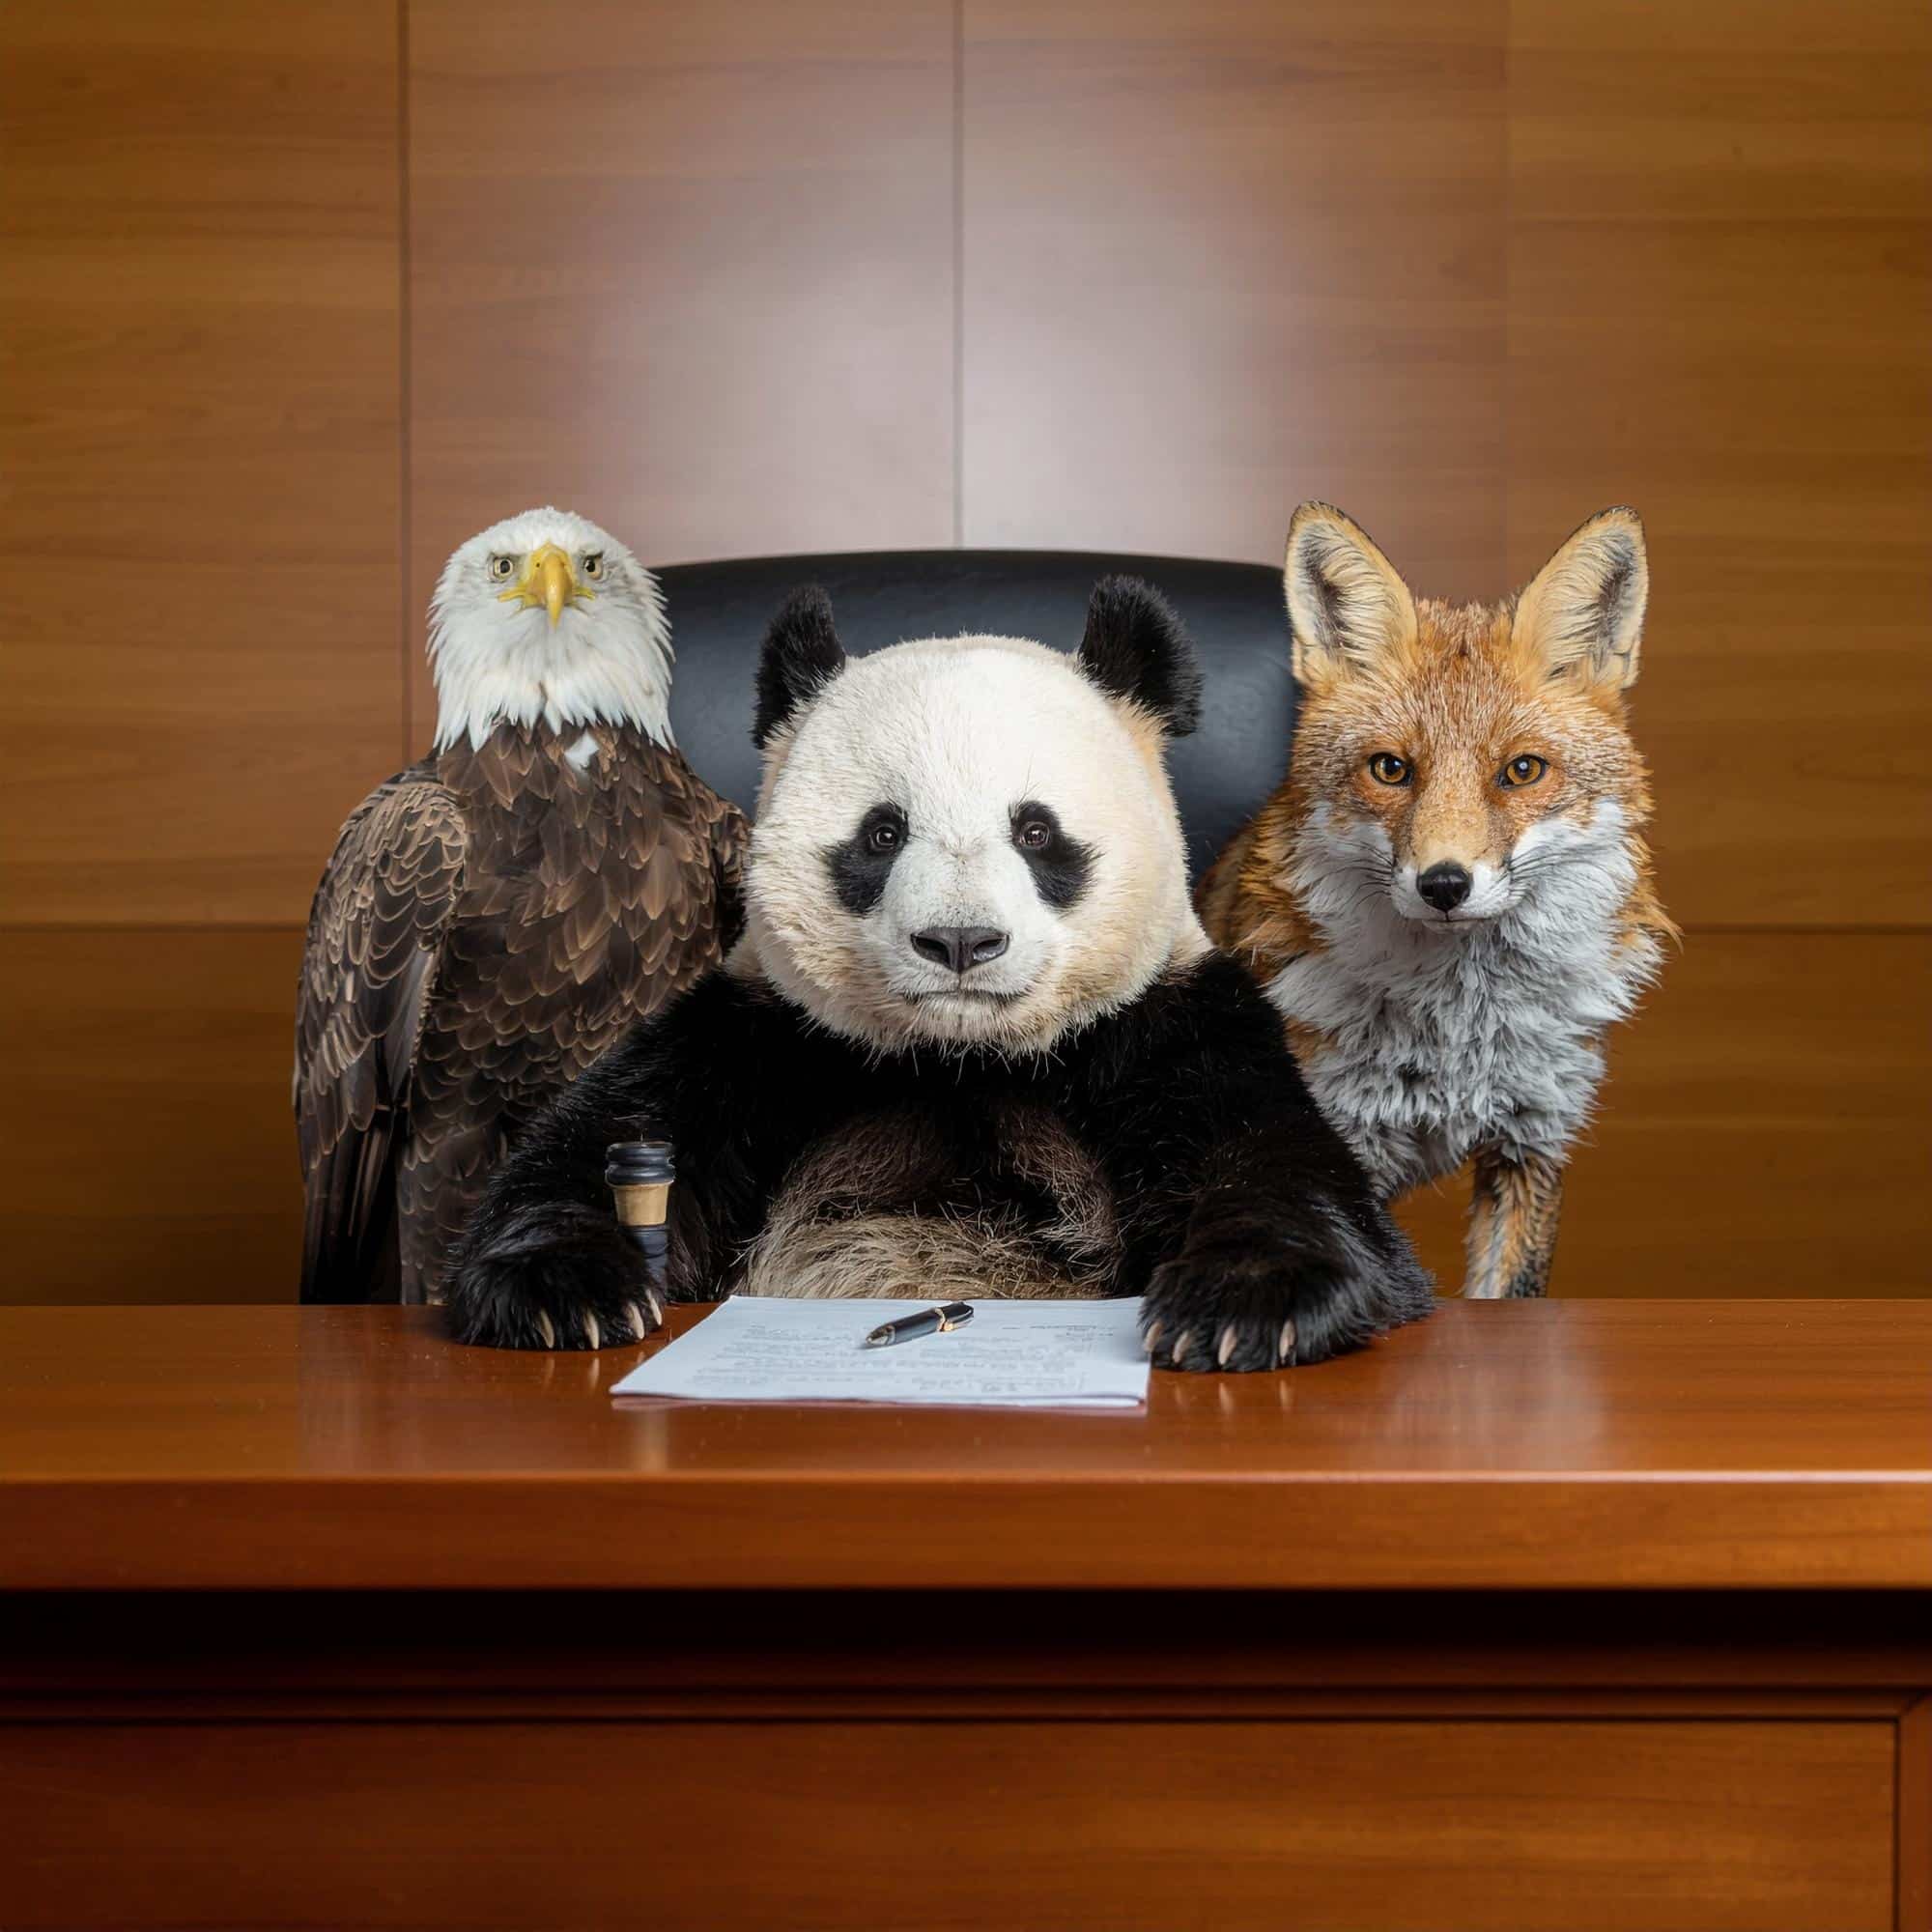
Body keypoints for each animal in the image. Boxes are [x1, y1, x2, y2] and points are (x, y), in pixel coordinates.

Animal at [446, 577, 1432, 1371]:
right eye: (882, 834)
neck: (962, 1055)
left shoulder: (1165, 1027)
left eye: (1036, 831)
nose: (960, 942)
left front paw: (1241, 1306)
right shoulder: (761, 1040)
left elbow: (1278, 1164)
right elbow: (598, 1140)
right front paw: (563, 1290)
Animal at [1198, 502, 1676, 1299]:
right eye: (1391, 769)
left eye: (1522, 771)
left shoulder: (1531, 1141)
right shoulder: (1335, 1150)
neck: (1461, 1034)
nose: (1445, 885)